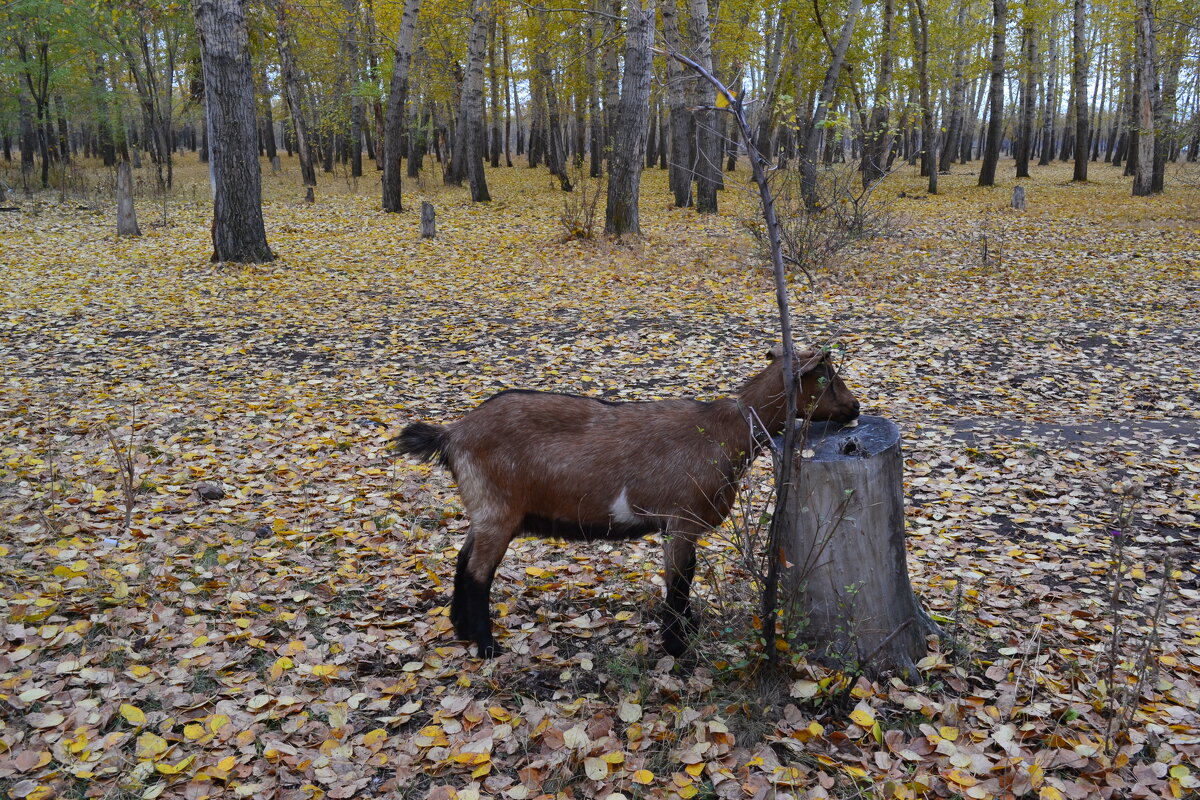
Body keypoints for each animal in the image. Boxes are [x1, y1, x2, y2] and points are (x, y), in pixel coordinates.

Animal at [398, 347, 859, 657]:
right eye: (826, 375)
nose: (855, 408)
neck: (725, 430)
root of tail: (453, 434)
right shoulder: (681, 519)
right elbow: (679, 580)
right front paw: (676, 646)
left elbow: (686, 576)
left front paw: (686, 631)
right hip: (498, 510)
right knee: (478, 571)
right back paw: (487, 644)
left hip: (484, 510)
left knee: (463, 560)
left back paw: (460, 630)